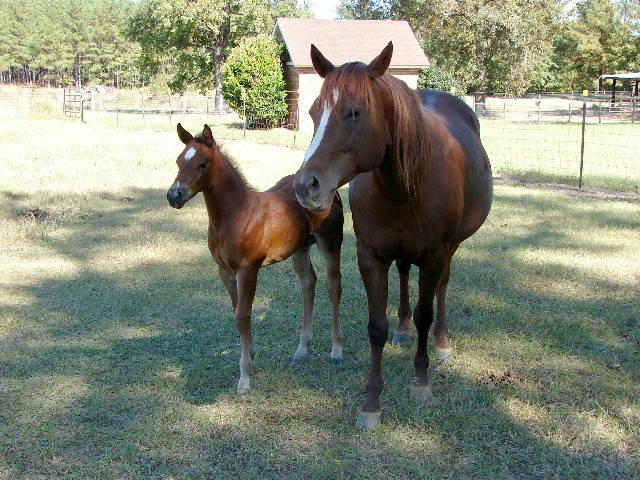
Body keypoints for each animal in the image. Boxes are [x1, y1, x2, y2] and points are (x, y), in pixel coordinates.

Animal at [168, 124, 342, 394]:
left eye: (203, 164)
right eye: (178, 161)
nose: (174, 196)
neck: (236, 214)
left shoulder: (248, 270)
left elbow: (243, 315)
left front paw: (245, 377)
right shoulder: (225, 272)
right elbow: (237, 311)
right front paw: (250, 355)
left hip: (330, 242)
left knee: (333, 286)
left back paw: (336, 351)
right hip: (300, 249)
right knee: (308, 285)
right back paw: (301, 350)